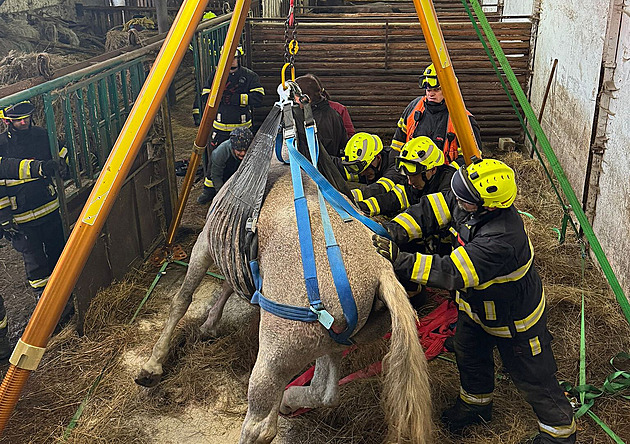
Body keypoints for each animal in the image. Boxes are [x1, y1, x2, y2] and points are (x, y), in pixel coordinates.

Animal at [137, 162, 434, 444]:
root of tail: (381, 271)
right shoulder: (234, 251)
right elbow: (228, 284)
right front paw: (209, 325)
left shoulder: (205, 242)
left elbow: (182, 300)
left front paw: (153, 364)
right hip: (333, 342)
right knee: (325, 393)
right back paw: (289, 400)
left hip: (276, 355)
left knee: (260, 428)